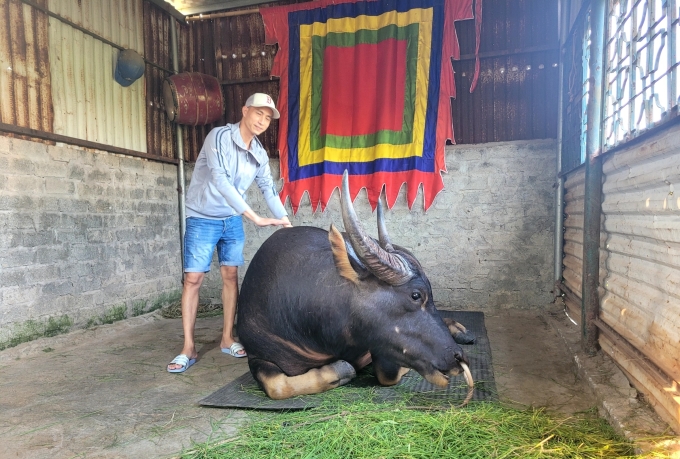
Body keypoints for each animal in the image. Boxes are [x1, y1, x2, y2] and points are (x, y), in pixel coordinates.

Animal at [236, 171, 476, 400]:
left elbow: (385, 374)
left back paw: (461, 331)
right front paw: (340, 370)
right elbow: (276, 386)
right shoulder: (256, 356)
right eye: (416, 295)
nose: (458, 357)